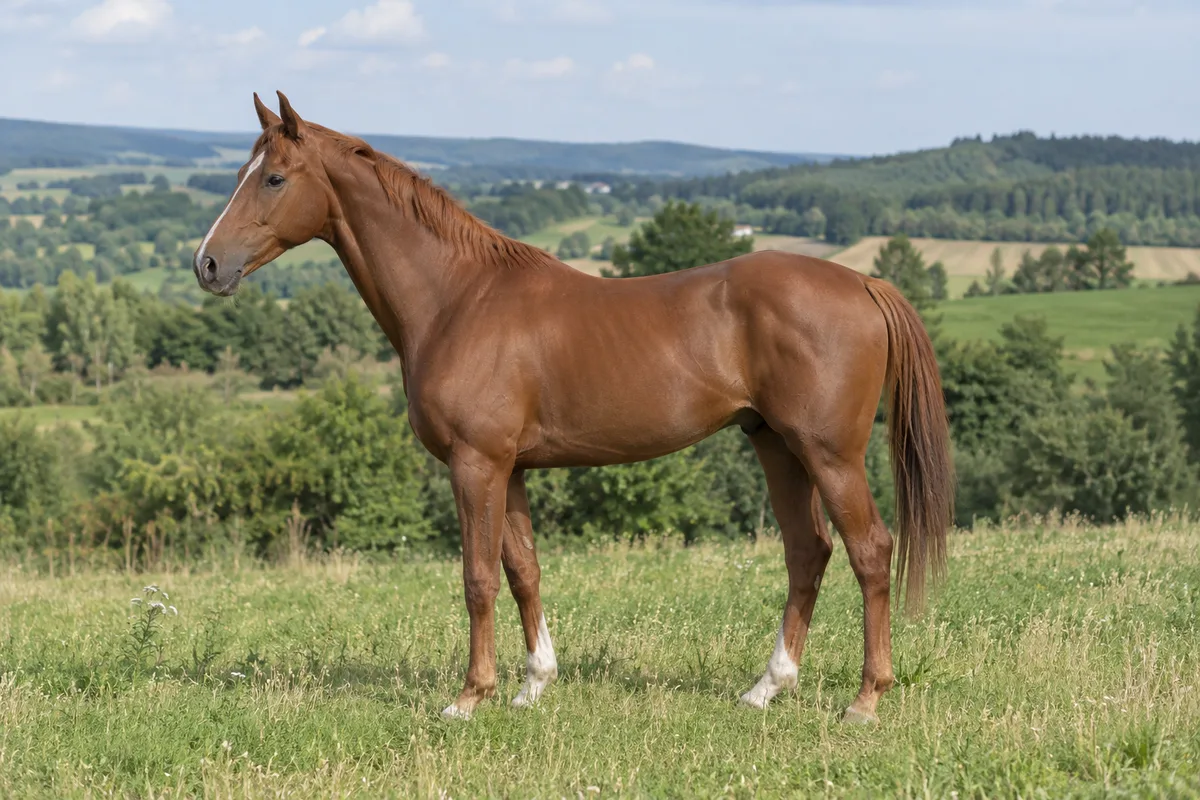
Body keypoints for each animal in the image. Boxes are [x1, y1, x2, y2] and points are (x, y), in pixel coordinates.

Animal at [193, 91, 954, 724]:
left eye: (273, 177)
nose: (206, 264)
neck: (458, 298)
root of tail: (862, 282)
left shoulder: (476, 464)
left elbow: (477, 578)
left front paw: (469, 697)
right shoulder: (512, 469)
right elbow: (523, 571)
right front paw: (533, 685)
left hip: (829, 453)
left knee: (868, 551)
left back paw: (865, 701)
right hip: (775, 445)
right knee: (808, 552)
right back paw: (765, 688)